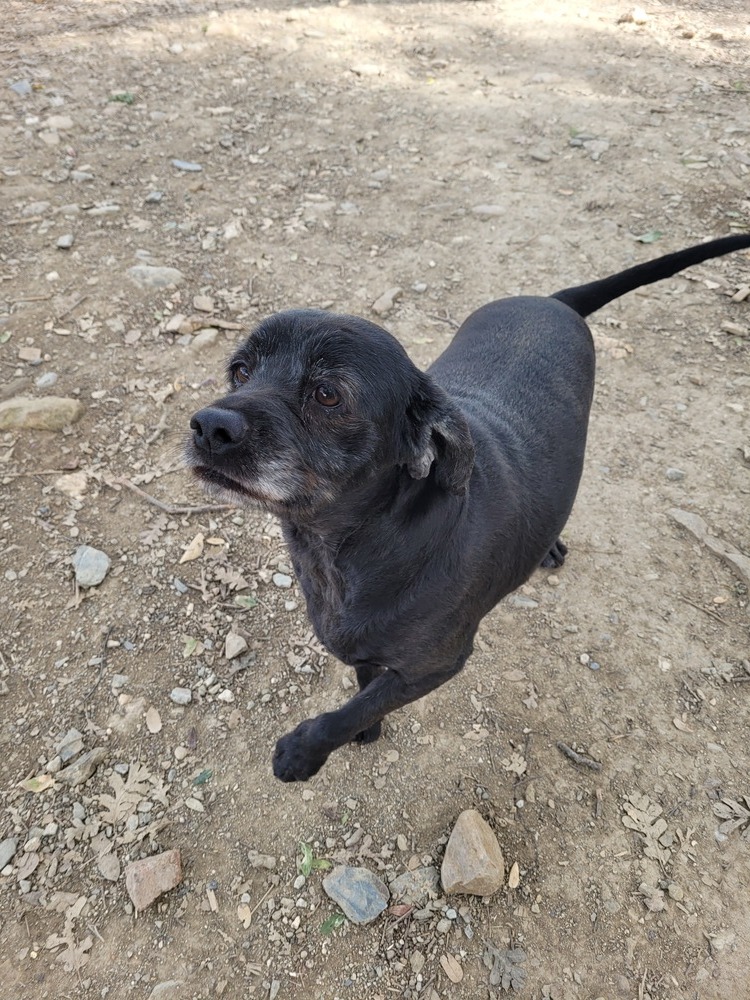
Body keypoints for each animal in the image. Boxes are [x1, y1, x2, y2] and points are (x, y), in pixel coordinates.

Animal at [188, 234, 750, 780]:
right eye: (239, 371)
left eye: (327, 394)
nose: (209, 427)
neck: (349, 549)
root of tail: (552, 300)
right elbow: (366, 682)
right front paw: (363, 724)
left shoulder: (439, 663)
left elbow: (355, 709)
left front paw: (305, 751)